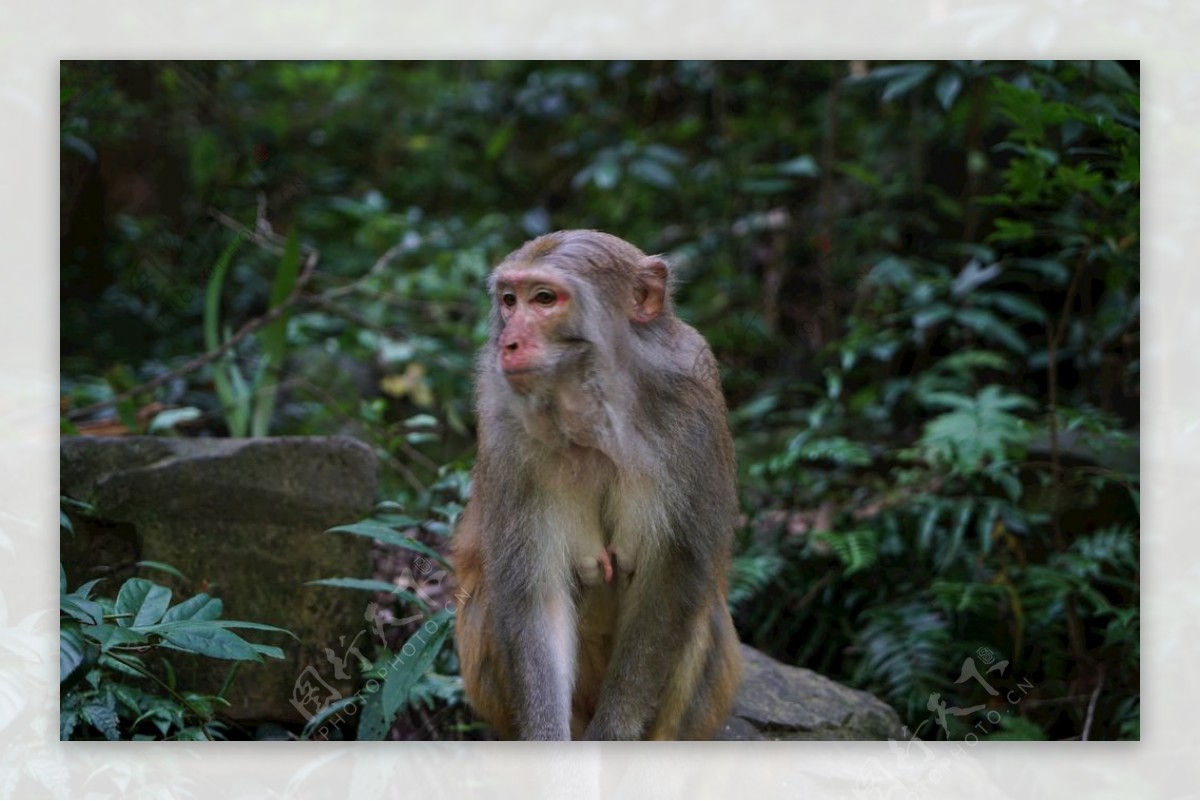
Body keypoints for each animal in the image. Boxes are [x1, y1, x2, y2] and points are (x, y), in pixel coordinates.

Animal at [453, 227, 744, 743]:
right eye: (509, 300)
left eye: (544, 299)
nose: (508, 342)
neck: (596, 418)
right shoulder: (502, 421)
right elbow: (534, 595)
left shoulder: (695, 406)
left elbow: (674, 577)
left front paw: (614, 734)